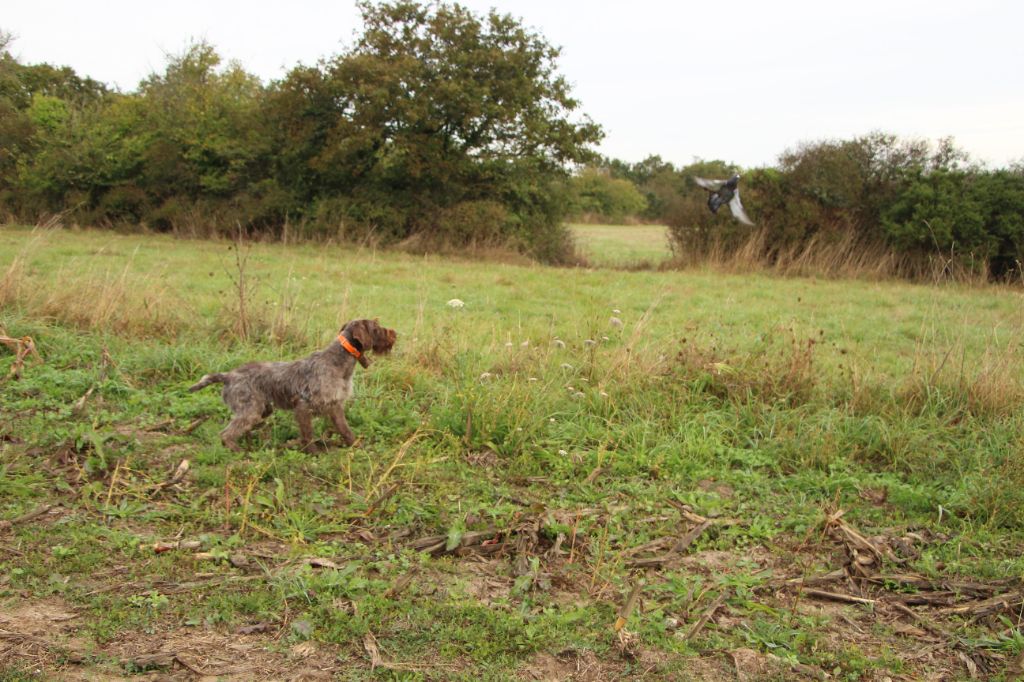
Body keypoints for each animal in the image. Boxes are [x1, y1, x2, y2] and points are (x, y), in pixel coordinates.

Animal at [190, 319, 397, 450]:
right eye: (376, 327)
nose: (394, 333)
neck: (339, 361)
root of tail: (228, 376)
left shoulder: (335, 406)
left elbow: (346, 430)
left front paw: (355, 445)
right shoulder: (303, 406)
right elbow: (308, 436)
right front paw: (313, 453)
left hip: (261, 410)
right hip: (251, 411)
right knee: (226, 434)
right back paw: (240, 452)